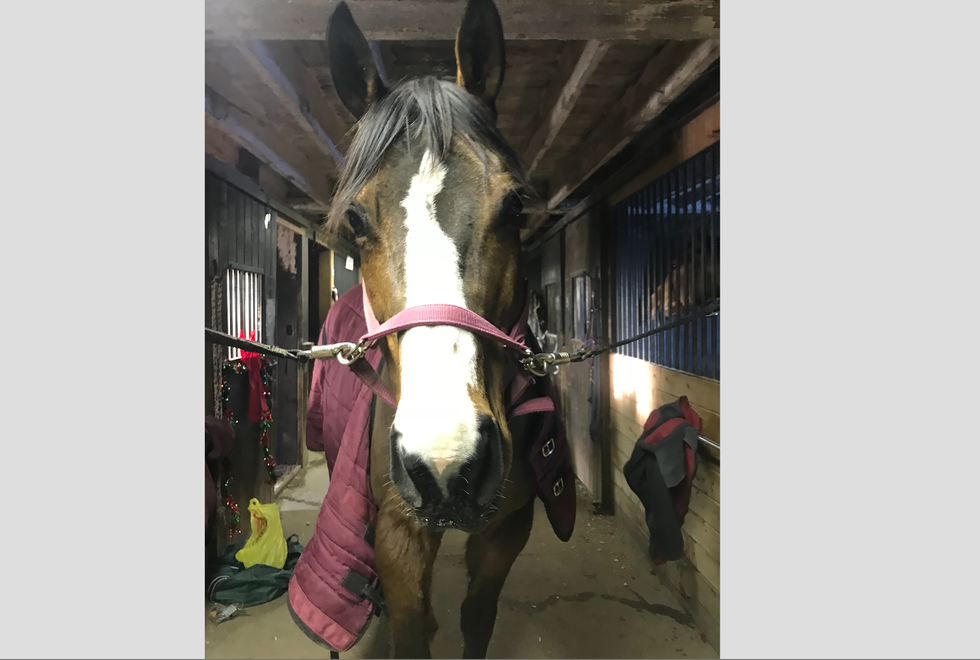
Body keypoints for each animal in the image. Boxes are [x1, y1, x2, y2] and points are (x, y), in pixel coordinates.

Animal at [319, 1, 572, 656]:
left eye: (514, 207)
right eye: (355, 221)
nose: (445, 462)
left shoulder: (508, 528)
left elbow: (476, 616)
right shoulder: (398, 532)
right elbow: (412, 626)